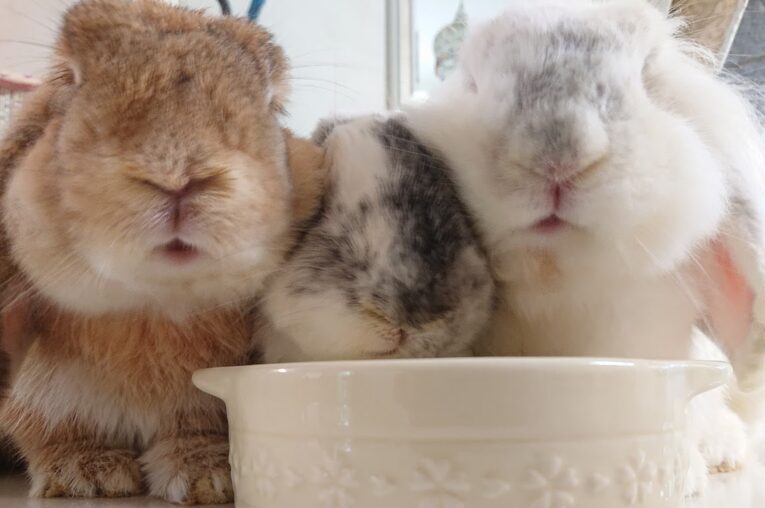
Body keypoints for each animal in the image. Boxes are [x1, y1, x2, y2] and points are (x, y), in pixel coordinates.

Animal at [0, 0, 325, 504]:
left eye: (273, 105)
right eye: (68, 78)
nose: (177, 175)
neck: (150, 310)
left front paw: (206, 475)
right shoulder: (43, 399)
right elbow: (56, 430)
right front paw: (88, 474)